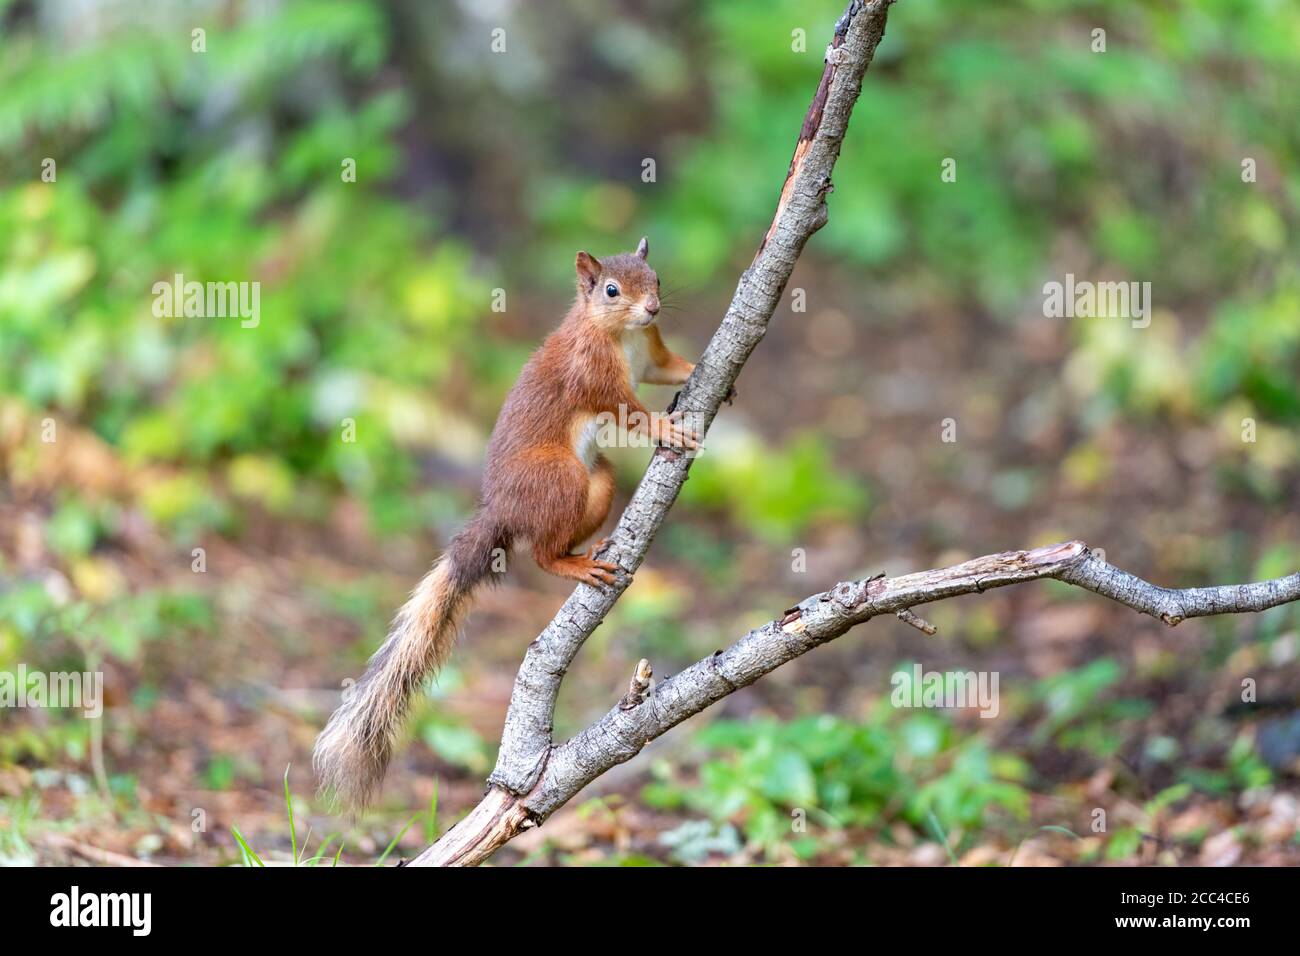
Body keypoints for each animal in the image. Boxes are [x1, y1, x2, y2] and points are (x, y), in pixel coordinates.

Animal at [313, 238, 702, 806]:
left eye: (656, 279)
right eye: (611, 290)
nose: (651, 307)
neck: (620, 333)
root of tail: (500, 509)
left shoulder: (649, 352)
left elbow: (667, 367)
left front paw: (703, 371)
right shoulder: (593, 375)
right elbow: (626, 409)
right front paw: (663, 428)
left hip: (597, 483)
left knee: (555, 536)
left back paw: (589, 549)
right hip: (559, 476)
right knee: (539, 554)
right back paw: (577, 566)